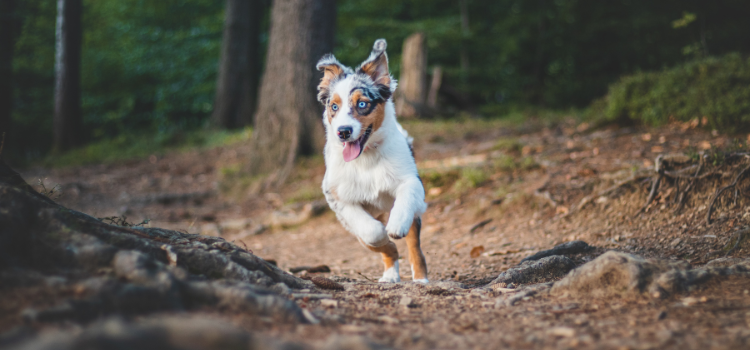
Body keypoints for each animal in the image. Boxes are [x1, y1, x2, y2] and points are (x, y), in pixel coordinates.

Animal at [314, 39, 428, 284]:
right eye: (334, 107)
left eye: (362, 104)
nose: (343, 132)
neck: (366, 159)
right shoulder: (337, 197)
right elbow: (373, 232)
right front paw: (385, 237)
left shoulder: (412, 180)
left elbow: (404, 199)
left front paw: (395, 226)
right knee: (382, 247)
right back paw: (390, 274)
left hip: (415, 216)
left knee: (414, 247)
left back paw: (420, 279)